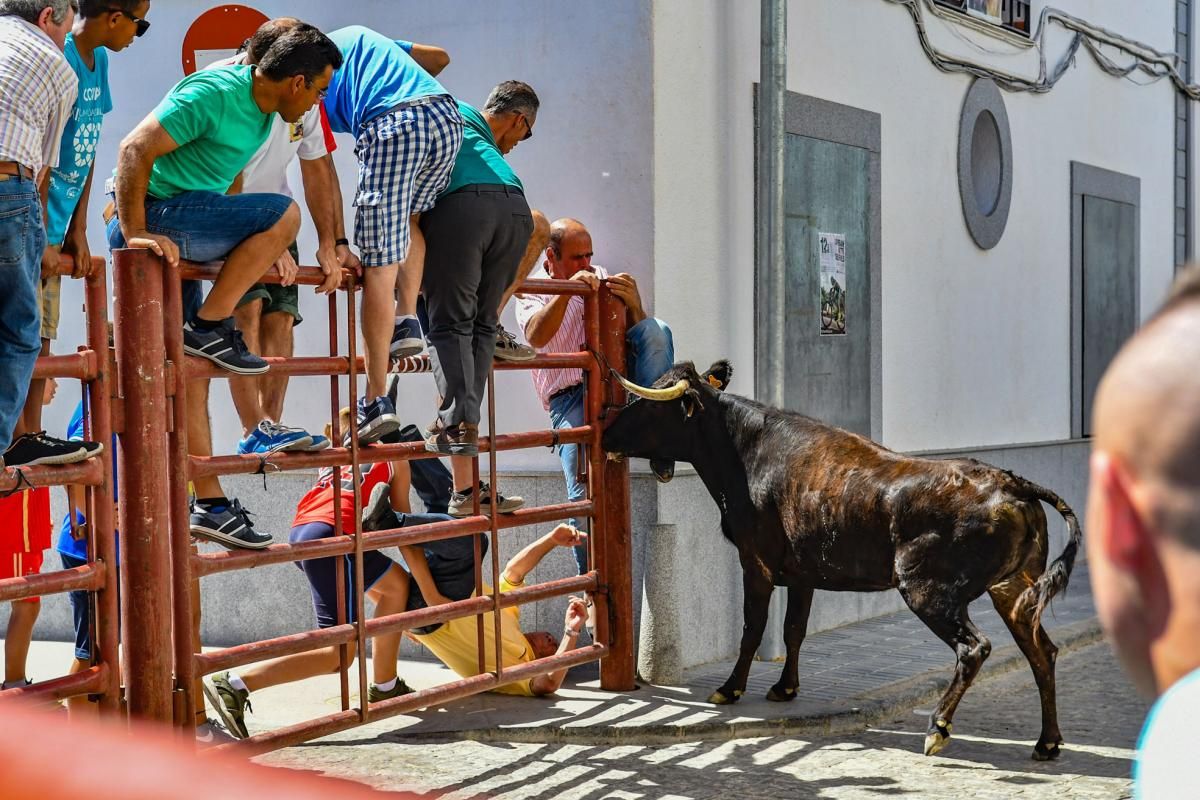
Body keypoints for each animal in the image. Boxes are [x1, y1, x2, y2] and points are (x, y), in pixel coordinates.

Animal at [604, 359, 1084, 762]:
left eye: (649, 404)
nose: (607, 433)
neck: (745, 453)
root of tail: (1013, 483)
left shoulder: (755, 561)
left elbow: (752, 628)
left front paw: (730, 689)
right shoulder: (802, 572)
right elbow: (793, 630)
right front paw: (785, 688)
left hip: (929, 591)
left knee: (975, 648)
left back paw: (938, 728)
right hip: (1013, 590)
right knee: (1042, 652)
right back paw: (1047, 742)